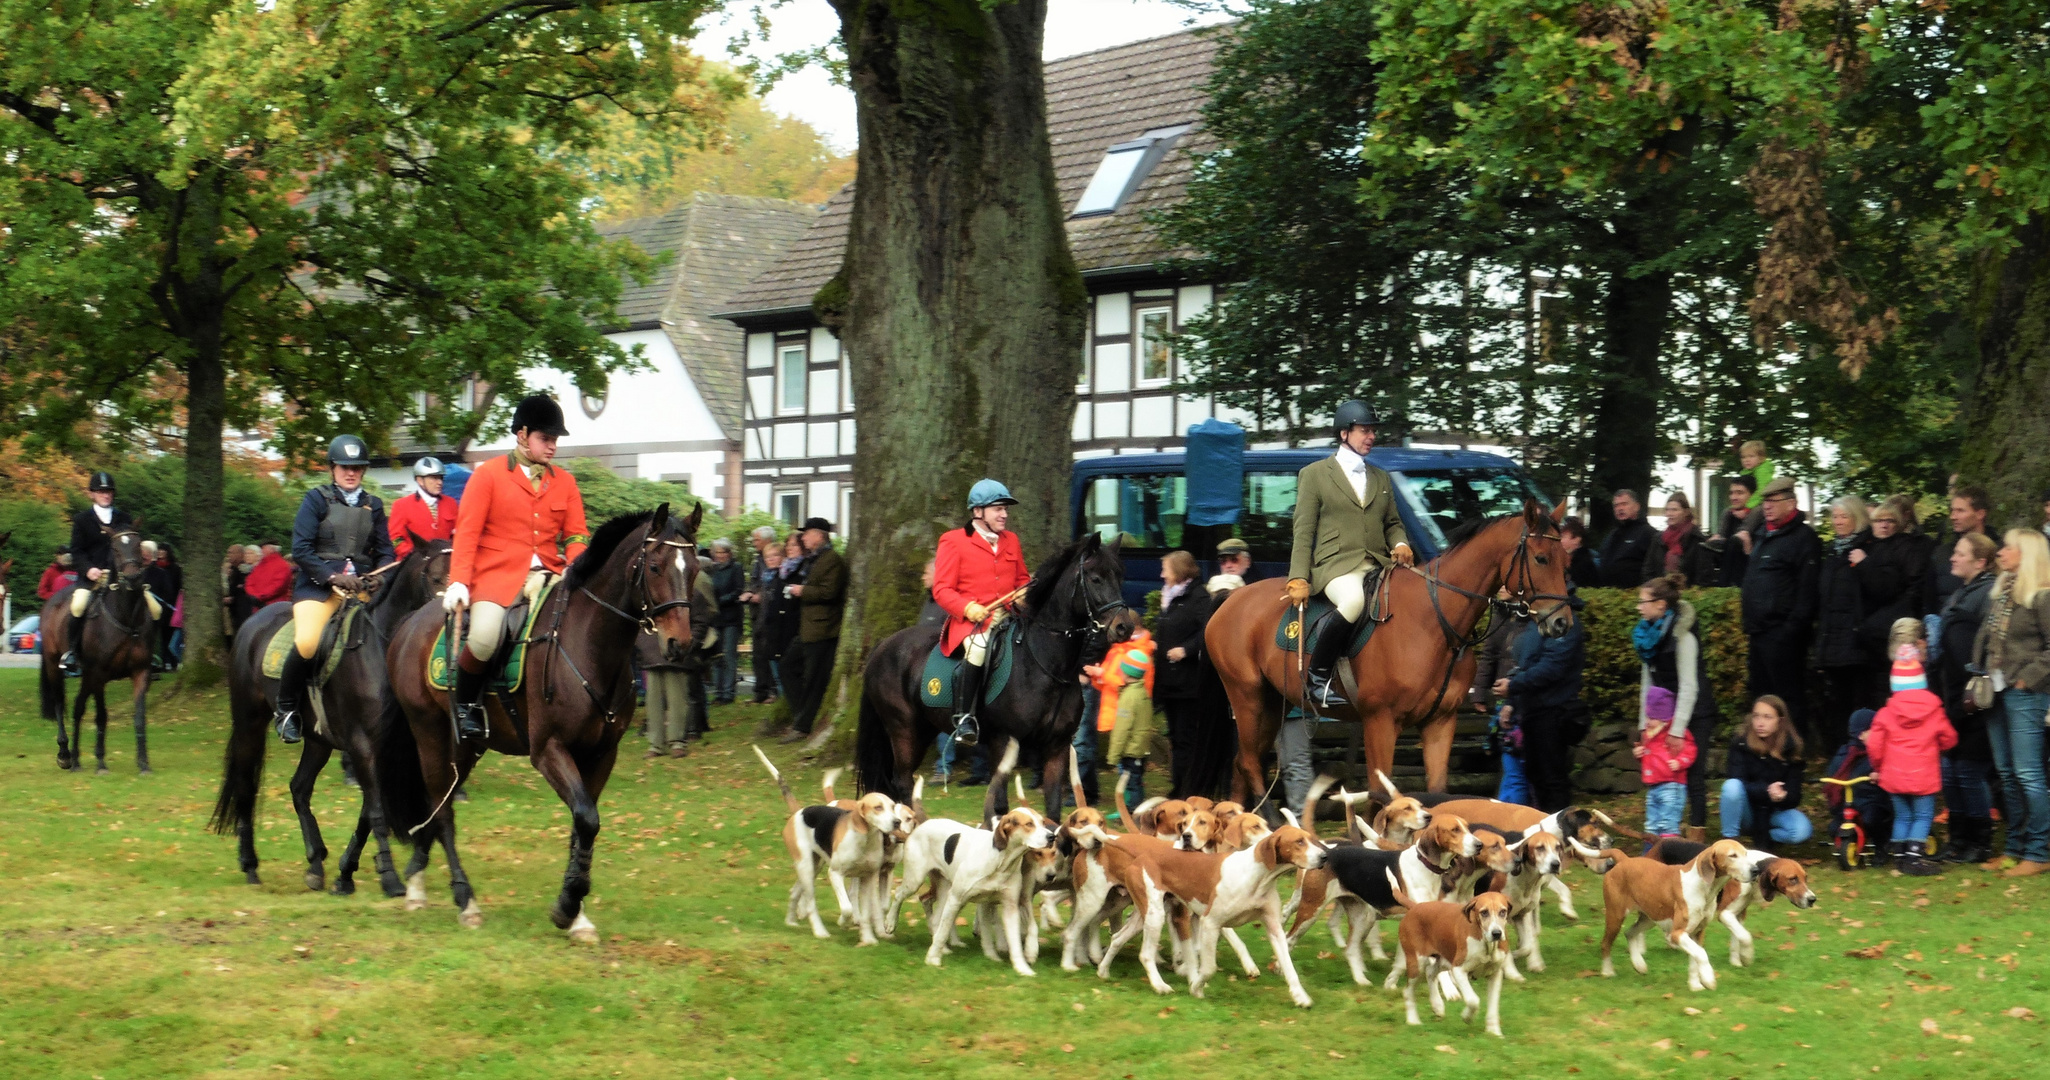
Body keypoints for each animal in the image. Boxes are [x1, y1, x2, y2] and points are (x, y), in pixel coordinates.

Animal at [38, 524, 155, 774]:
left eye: (138, 545)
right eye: (115, 548)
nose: (133, 578)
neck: (127, 617)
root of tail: (51, 601)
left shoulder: (140, 672)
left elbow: (139, 715)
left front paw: (143, 763)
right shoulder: (100, 673)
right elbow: (102, 715)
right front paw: (101, 762)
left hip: (87, 676)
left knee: (78, 707)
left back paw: (76, 760)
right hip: (55, 666)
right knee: (60, 703)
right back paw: (65, 755)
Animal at [208, 536, 448, 901]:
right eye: (435, 578)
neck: (382, 649)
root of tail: (251, 623)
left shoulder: (386, 749)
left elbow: (367, 813)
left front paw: (346, 873)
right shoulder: (363, 746)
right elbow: (376, 810)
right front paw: (389, 878)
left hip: (318, 740)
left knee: (299, 788)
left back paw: (315, 863)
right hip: (250, 724)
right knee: (247, 786)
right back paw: (250, 865)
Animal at [381, 504, 701, 938]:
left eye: (696, 568)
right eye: (654, 566)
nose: (678, 645)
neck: (588, 643)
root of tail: (411, 623)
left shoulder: (602, 754)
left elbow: (583, 826)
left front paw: (576, 912)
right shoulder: (549, 750)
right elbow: (586, 819)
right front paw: (568, 905)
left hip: (467, 748)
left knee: (439, 801)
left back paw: (416, 879)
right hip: (429, 733)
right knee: (443, 811)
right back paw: (464, 899)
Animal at [852, 532, 1139, 819]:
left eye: (1120, 576)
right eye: (1095, 578)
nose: (1124, 627)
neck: (1046, 665)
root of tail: (883, 644)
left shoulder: (1056, 746)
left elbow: (1053, 809)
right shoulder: (1003, 742)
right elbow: (1000, 807)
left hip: (922, 730)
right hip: (903, 730)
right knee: (902, 782)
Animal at [1197, 497, 1566, 803]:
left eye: (1566, 561)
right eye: (1541, 558)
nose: (1562, 623)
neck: (1434, 620)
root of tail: (1232, 597)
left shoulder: (1440, 722)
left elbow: (1438, 793)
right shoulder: (1380, 722)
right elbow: (1381, 796)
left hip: (1273, 703)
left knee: (1244, 765)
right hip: (1247, 697)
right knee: (1248, 763)